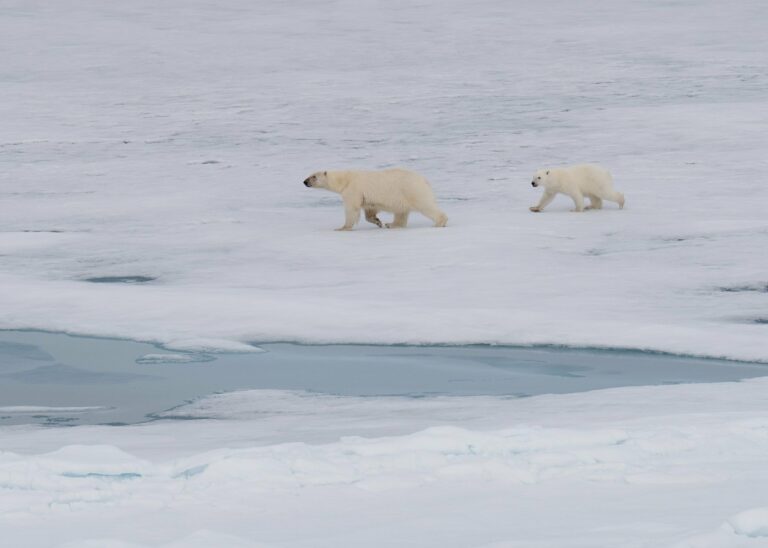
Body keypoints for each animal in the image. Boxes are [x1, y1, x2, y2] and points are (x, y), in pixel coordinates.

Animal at [303, 168, 448, 230]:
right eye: (310, 175)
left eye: (314, 176)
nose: (305, 181)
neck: (345, 180)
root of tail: (424, 180)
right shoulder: (366, 197)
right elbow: (370, 210)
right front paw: (378, 221)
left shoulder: (353, 190)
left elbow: (352, 209)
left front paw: (343, 227)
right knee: (401, 212)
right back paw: (391, 224)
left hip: (412, 190)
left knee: (425, 205)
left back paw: (439, 223)